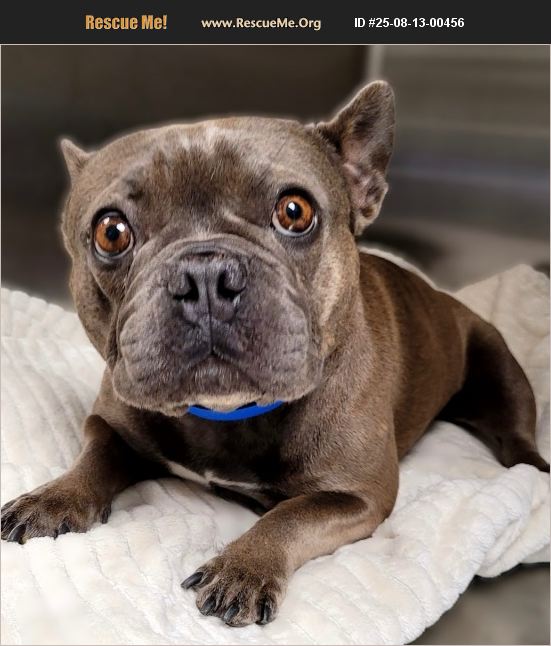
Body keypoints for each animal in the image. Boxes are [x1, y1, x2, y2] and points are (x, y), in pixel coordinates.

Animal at [2, 81, 548, 627]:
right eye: (110, 232)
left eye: (294, 211)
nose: (205, 275)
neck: (226, 414)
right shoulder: (110, 423)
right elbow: (93, 456)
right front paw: (53, 497)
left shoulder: (356, 497)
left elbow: (290, 515)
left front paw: (243, 567)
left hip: (499, 363)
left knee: (518, 436)